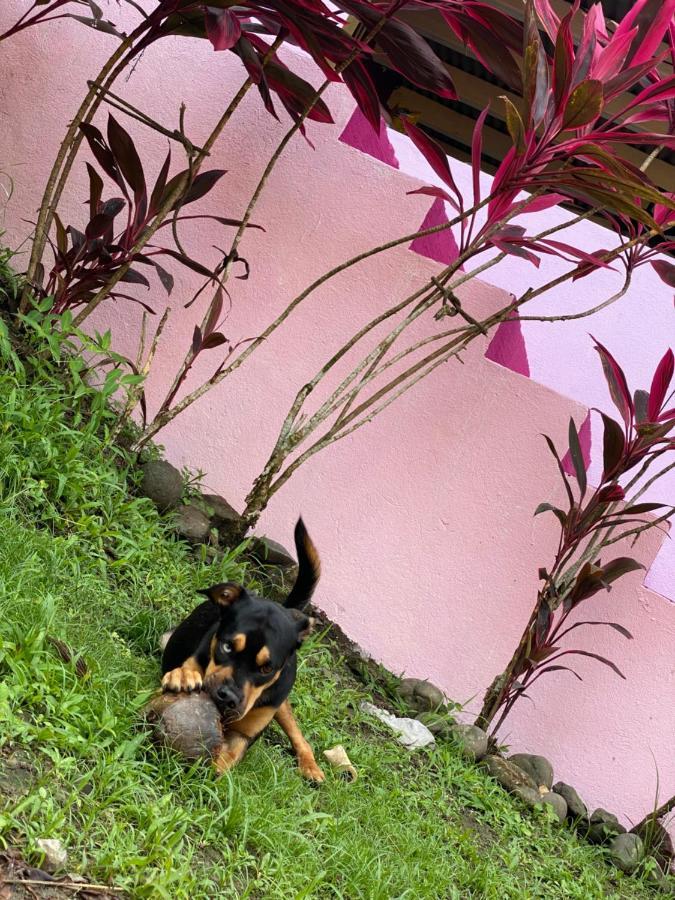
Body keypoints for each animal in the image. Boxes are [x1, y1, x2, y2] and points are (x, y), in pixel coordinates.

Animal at [161, 520, 324, 780]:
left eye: (267, 668)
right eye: (227, 646)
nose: (228, 697)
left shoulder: (245, 734)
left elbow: (229, 756)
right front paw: (184, 675)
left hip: (280, 702)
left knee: (297, 733)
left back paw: (311, 766)